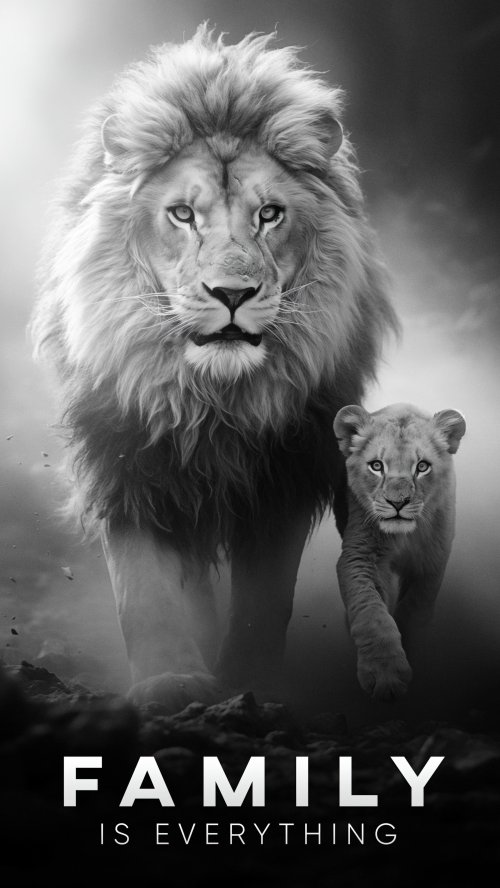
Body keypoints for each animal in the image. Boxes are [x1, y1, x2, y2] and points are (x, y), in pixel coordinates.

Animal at [31, 26, 398, 710]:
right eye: (182, 214)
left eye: (269, 214)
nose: (232, 294)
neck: (212, 399)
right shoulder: (126, 460)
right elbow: (145, 591)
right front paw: (170, 682)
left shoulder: (285, 472)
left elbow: (263, 601)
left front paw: (249, 683)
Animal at [334, 403, 466, 701]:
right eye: (377, 466)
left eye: (422, 466)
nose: (398, 503)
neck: (403, 537)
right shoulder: (360, 556)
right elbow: (371, 613)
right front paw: (385, 675)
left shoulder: (432, 562)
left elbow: (415, 609)